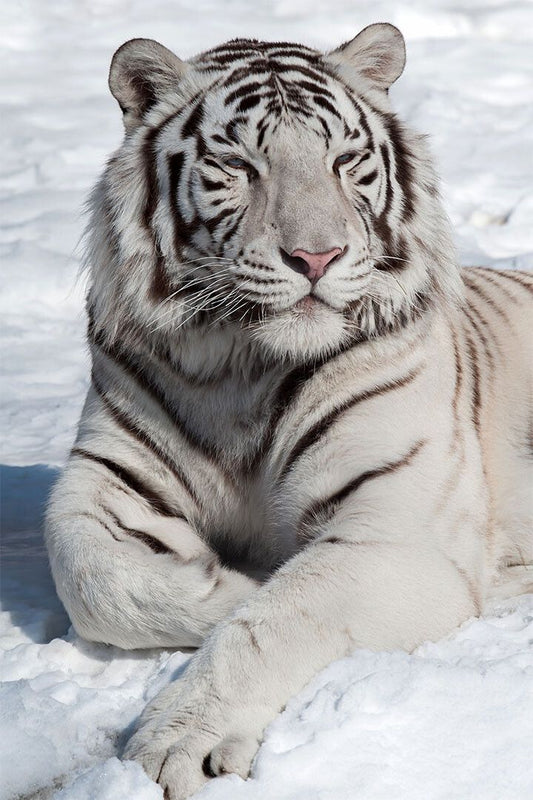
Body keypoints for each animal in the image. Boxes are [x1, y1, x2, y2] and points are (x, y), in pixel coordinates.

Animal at [44, 22, 532, 799]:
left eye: (344, 161)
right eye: (239, 165)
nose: (316, 257)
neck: (241, 366)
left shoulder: (396, 530)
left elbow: (277, 621)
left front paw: (176, 745)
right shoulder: (104, 483)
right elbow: (91, 577)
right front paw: (231, 582)